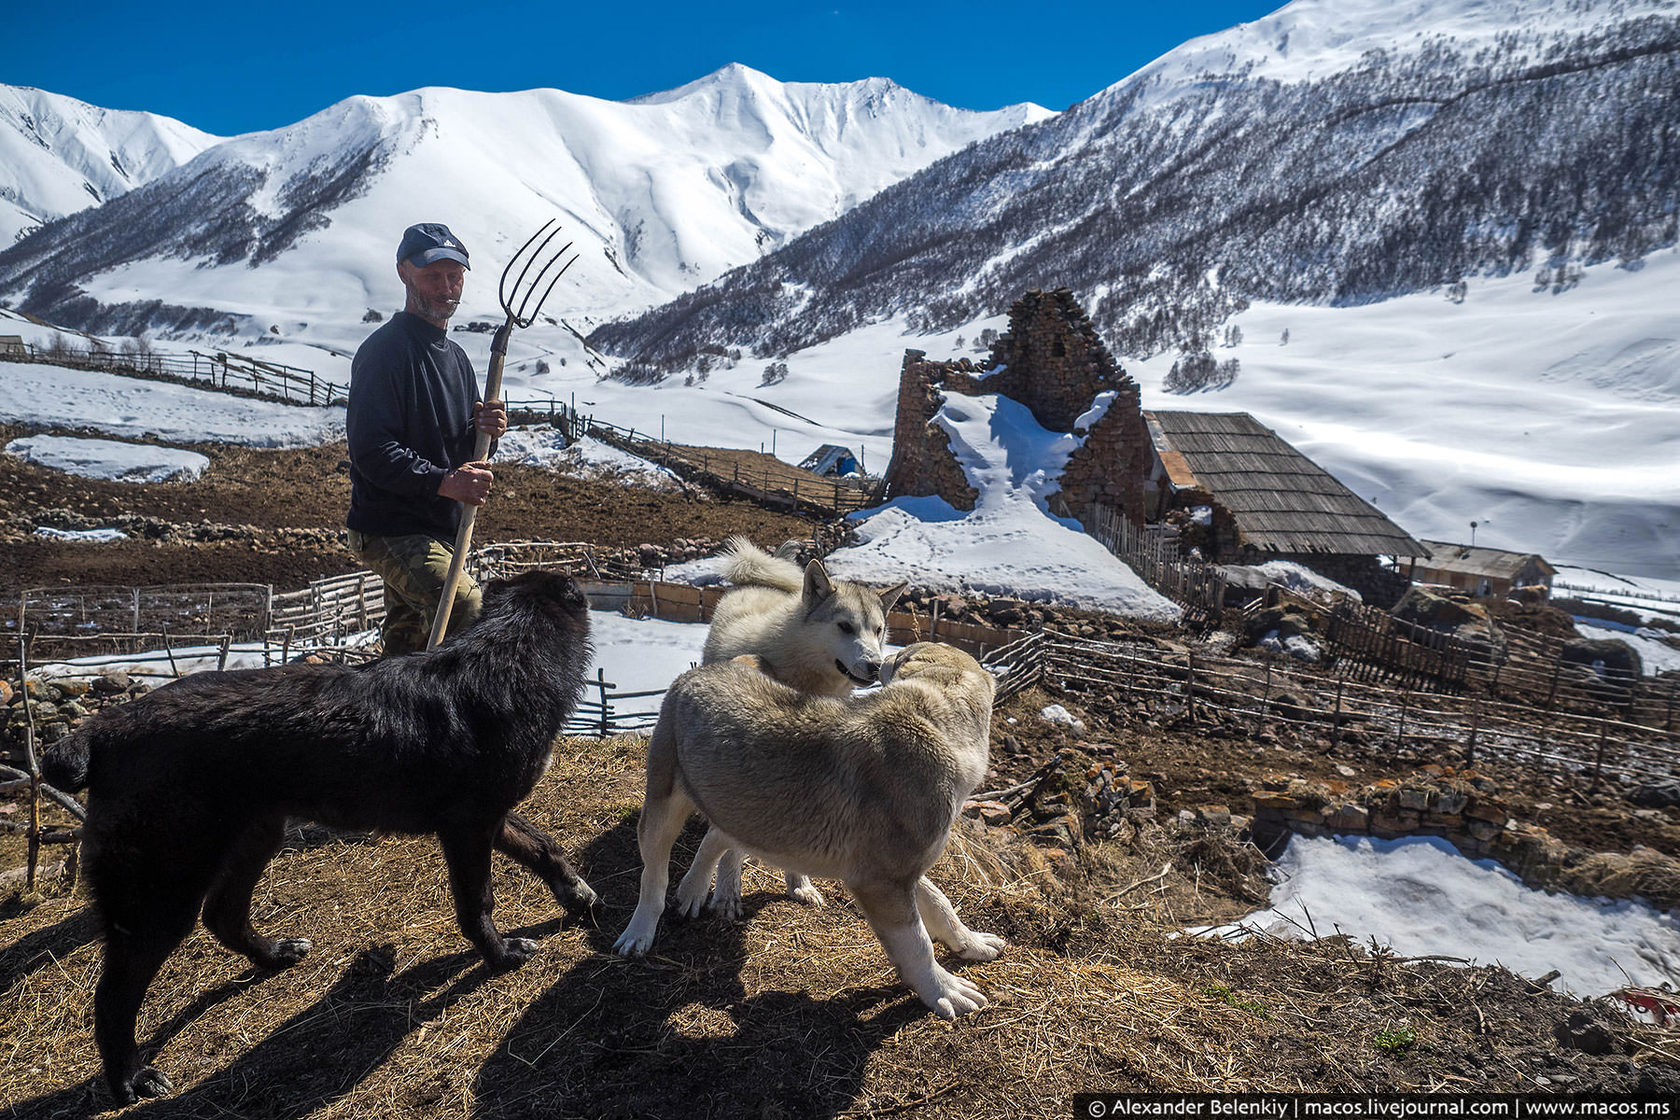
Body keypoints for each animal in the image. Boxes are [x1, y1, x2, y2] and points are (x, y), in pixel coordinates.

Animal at [39, 570, 601, 1101]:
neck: (510, 650)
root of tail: (100, 731)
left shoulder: (490, 819)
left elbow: (542, 846)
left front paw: (575, 893)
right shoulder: (468, 827)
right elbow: (477, 903)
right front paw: (500, 955)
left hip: (255, 837)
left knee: (223, 916)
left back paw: (274, 955)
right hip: (162, 894)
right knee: (113, 995)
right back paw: (130, 1077)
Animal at [621, 638, 1001, 1014]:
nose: (881, 661)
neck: (934, 719)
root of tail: (701, 671)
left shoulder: (902, 870)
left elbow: (940, 903)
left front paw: (970, 943)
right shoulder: (880, 880)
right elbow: (918, 943)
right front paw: (943, 989)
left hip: (747, 807)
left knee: (716, 838)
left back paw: (696, 890)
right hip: (663, 809)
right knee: (654, 877)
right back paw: (639, 932)